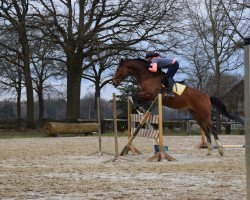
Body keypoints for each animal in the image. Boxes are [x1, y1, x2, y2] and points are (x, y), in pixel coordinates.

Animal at [112, 57, 244, 156]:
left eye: (118, 69)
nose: (114, 82)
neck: (148, 76)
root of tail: (207, 95)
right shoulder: (149, 95)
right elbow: (134, 96)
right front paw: (140, 107)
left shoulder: (151, 94)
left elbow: (134, 96)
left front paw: (138, 106)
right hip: (197, 115)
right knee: (206, 130)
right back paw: (209, 151)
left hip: (205, 114)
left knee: (212, 128)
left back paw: (220, 150)